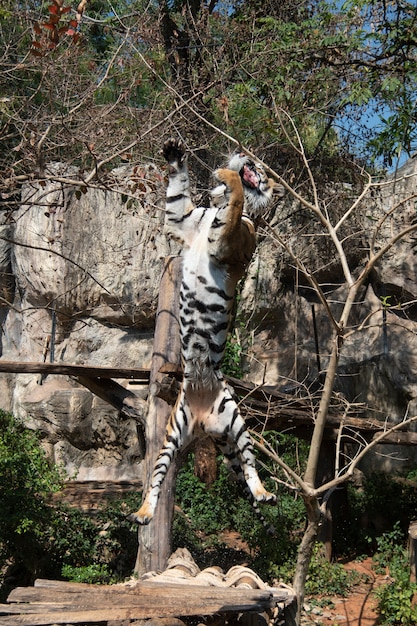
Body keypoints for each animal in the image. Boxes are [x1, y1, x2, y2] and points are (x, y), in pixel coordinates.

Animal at [128, 139, 282, 524]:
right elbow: (177, 196)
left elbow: (239, 196)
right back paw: (143, 512)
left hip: (237, 423)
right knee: (156, 480)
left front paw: (228, 176)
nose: (246, 154)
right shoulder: (183, 219)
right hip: (171, 436)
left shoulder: (228, 240)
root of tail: (203, 425)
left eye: (264, 170)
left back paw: (265, 493)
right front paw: (175, 156)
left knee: (250, 466)